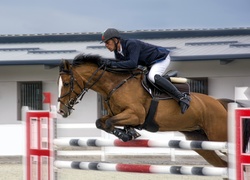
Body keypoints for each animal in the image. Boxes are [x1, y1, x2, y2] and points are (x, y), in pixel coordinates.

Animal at [57, 54, 250, 167]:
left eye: (66, 83)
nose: (61, 111)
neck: (115, 84)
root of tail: (220, 103)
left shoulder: (136, 114)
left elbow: (110, 122)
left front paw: (127, 134)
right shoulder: (116, 114)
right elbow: (101, 122)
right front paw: (128, 133)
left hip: (219, 136)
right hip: (200, 142)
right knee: (222, 164)